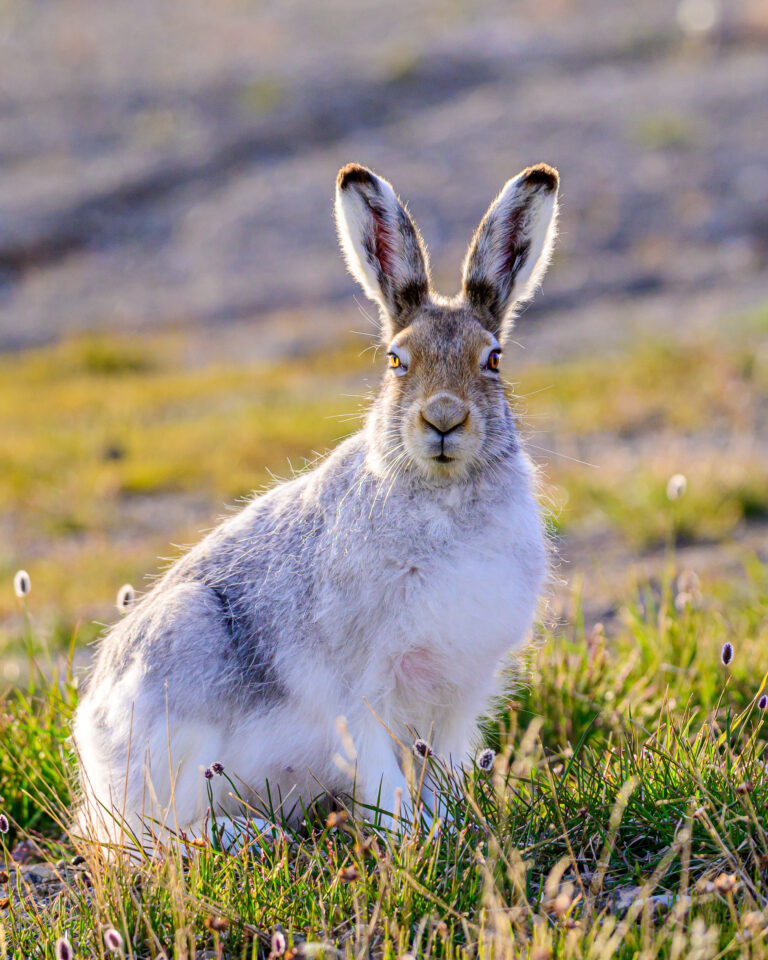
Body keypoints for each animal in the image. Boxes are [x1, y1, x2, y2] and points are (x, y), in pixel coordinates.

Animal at [73, 161, 559, 846]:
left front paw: (448, 831)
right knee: (154, 838)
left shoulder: (456, 695)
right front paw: (408, 844)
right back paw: (250, 837)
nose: (443, 419)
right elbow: (383, 780)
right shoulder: (359, 693)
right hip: (180, 669)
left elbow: (440, 774)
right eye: (396, 361)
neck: (442, 493)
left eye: (493, 359)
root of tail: (93, 751)